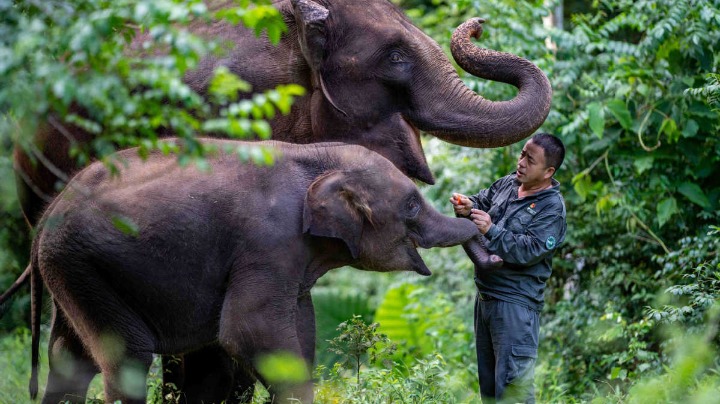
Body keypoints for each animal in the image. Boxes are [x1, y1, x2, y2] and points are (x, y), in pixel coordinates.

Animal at [28, 139, 480, 403]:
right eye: (412, 205)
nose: (471, 208)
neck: (316, 159)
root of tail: (49, 212)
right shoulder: (268, 242)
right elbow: (249, 330)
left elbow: (301, 331)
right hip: (81, 262)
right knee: (128, 358)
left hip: (75, 271)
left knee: (70, 359)